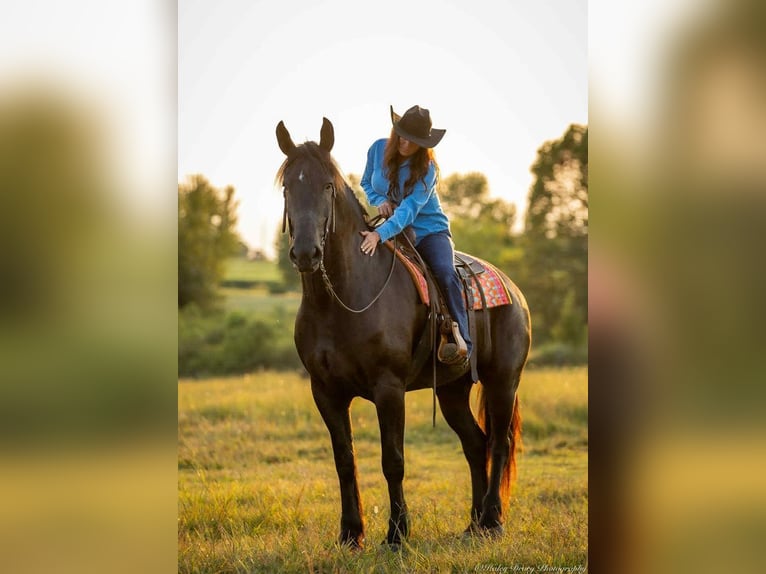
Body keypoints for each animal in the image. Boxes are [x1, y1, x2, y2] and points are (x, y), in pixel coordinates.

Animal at [274, 117, 531, 548]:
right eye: (288, 186)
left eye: (327, 185)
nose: (306, 253)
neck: (343, 299)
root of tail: (514, 290)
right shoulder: (325, 392)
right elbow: (344, 460)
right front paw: (351, 533)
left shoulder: (389, 388)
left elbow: (393, 460)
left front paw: (397, 534)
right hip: (452, 390)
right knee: (475, 443)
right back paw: (473, 524)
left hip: (503, 381)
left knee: (499, 442)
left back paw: (492, 520)